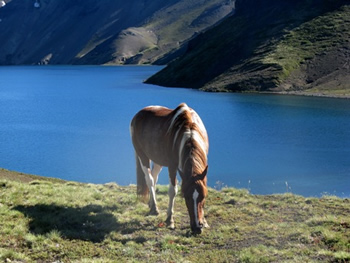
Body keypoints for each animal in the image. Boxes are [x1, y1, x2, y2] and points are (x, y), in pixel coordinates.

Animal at [130, 103, 209, 235]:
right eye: (186, 197)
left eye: (202, 197)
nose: (197, 228)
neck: (189, 131)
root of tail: (138, 115)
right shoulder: (172, 166)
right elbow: (173, 191)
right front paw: (169, 219)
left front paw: (204, 221)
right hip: (142, 155)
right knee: (149, 179)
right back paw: (154, 208)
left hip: (158, 159)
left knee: (154, 178)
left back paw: (151, 203)